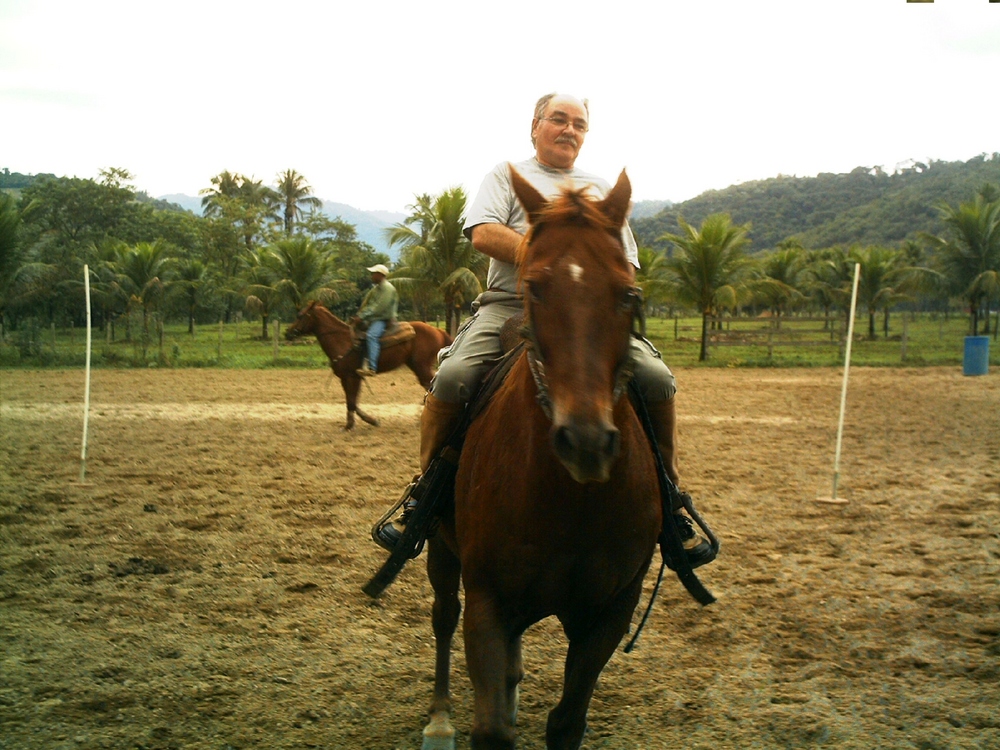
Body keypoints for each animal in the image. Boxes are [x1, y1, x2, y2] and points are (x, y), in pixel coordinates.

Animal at [284, 302, 452, 432]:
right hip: (416, 366)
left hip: (421, 366)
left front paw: (352, 425)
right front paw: (367, 420)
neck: (342, 340)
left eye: (300, 315)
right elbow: (351, 401)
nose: (288, 333)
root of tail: (438, 330)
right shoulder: (348, 377)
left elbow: (352, 402)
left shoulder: (352, 376)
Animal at [422, 167, 664, 748]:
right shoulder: (488, 601)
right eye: (534, 287)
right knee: (442, 615)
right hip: (441, 550)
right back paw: (439, 718)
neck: (569, 500)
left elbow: (567, 722)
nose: (586, 442)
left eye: (629, 293)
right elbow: (490, 730)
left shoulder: (608, 613)